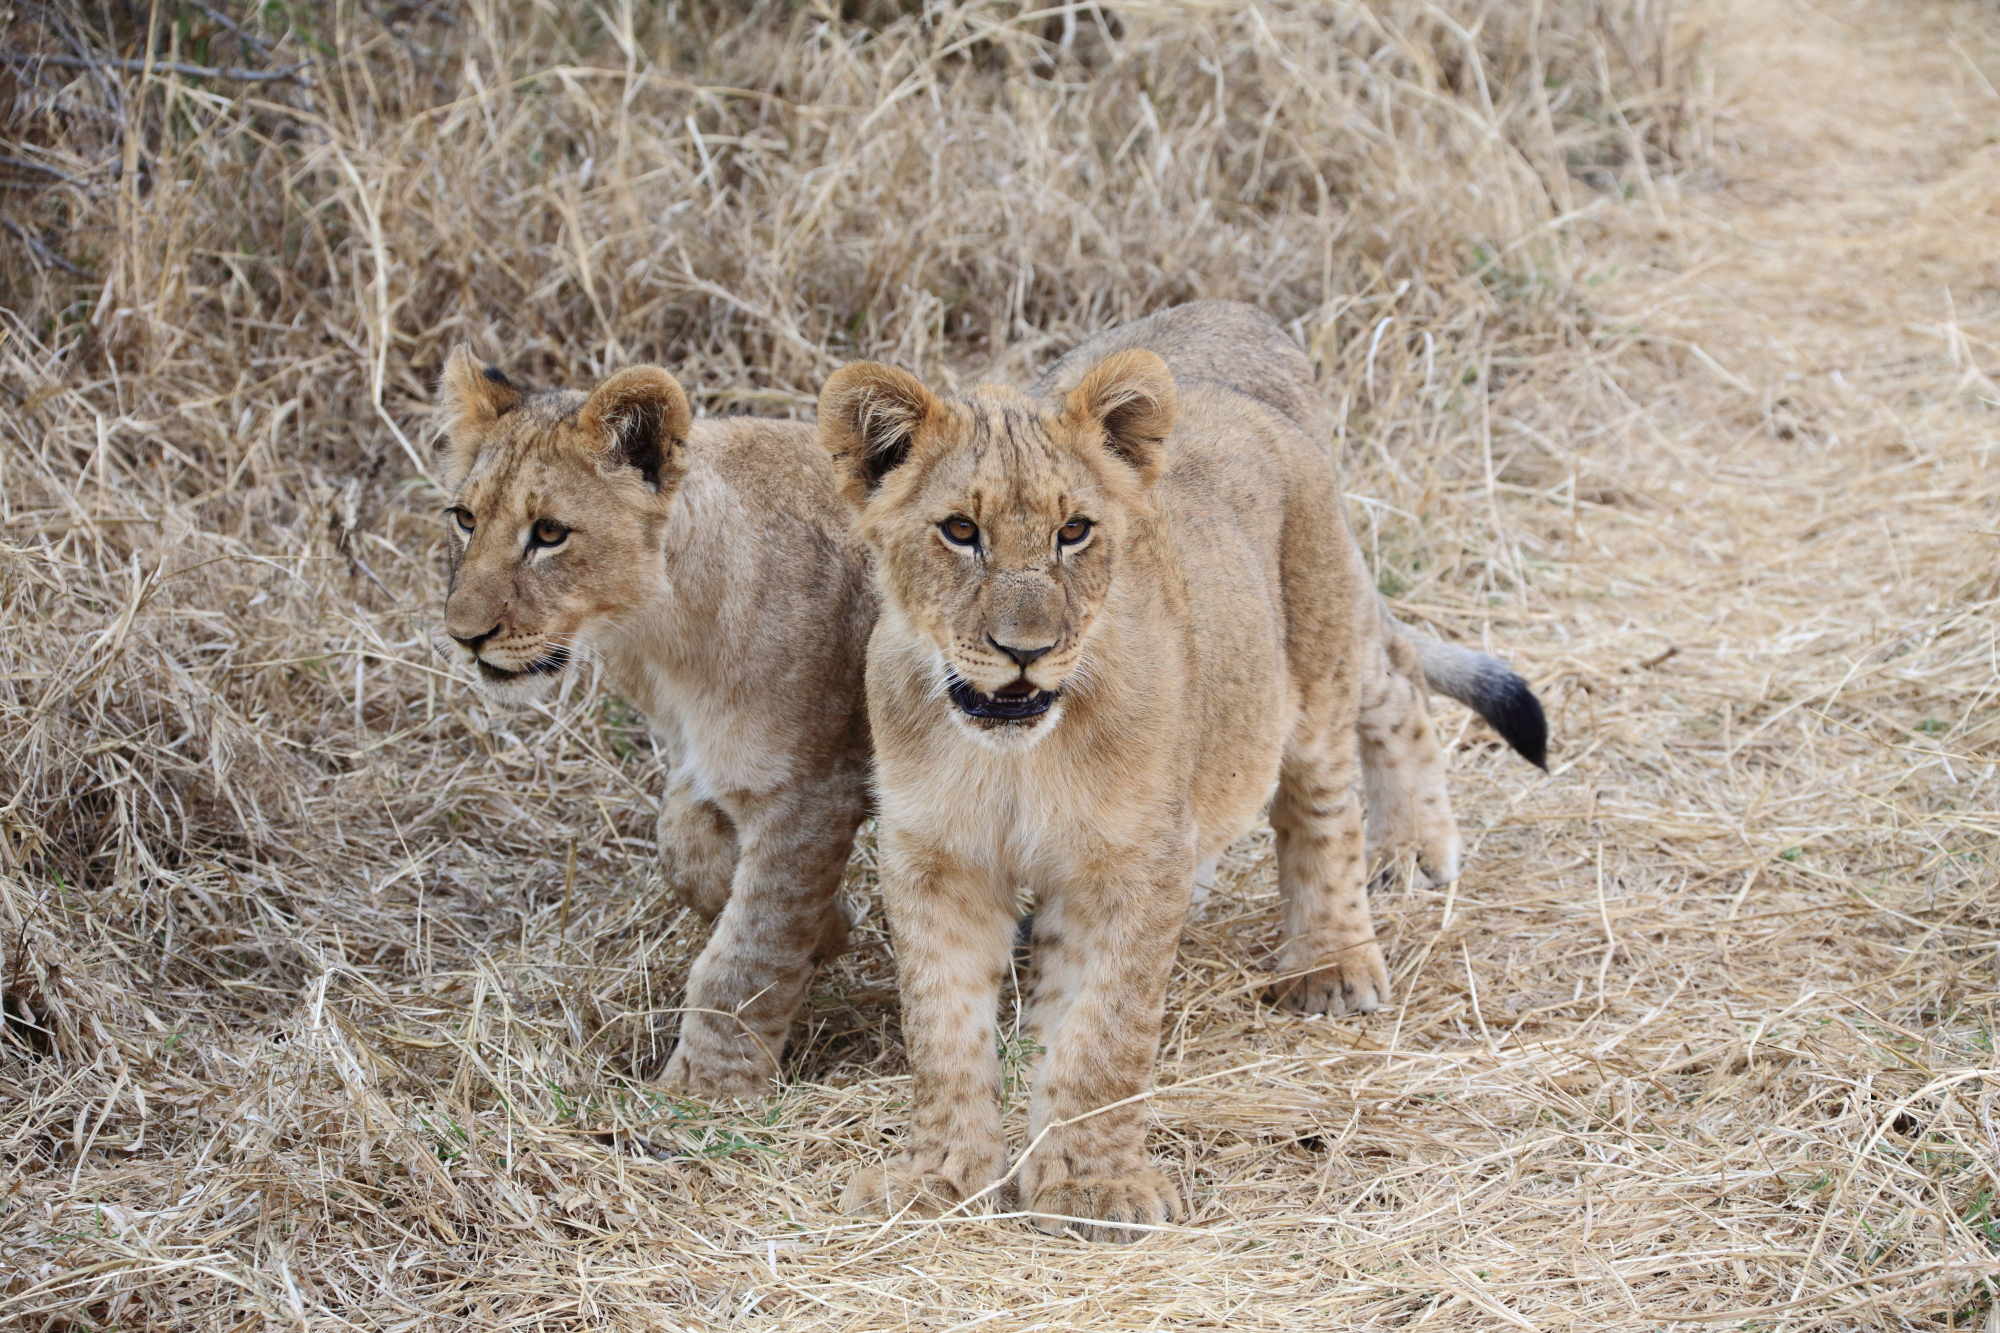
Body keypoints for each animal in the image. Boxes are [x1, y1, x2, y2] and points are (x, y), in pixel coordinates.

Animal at [433, 349, 874, 1101]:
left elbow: (748, 951)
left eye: (548, 533)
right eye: (465, 518)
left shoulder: (813, 790)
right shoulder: (706, 756)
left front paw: (706, 1091)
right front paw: (831, 930)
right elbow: (681, 844)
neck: (661, 633)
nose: (465, 637)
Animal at [818, 307, 1545, 1240]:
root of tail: (1239, 318)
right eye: (959, 531)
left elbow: (1106, 1032)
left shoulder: (1133, 858)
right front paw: (939, 1177)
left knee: (1366, 729)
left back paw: (1359, 925)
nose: (1026, 652)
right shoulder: (935, 859)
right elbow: (941, 1030)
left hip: (1316, 656)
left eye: (1074, 531)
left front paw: (1096, 1187)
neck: (1017, 752)